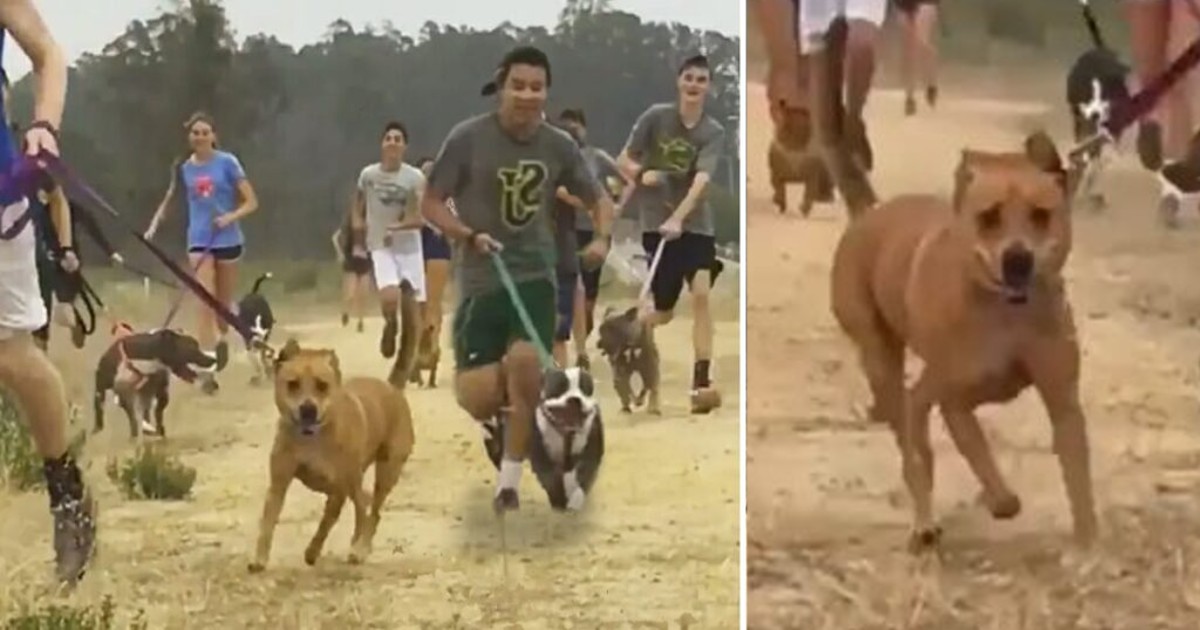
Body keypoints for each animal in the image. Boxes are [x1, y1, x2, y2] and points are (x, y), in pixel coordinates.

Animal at [246, 338, 415, 568]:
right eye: (292, 384)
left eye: (322, 385)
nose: (308, 409)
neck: (311, 439)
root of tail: (393, 389)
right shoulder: (278, 484)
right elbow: (268, 522)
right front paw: (260, 559)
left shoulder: (339, 489)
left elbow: (327, 522)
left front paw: (313, 551)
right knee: (364, 504)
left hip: (386, 472)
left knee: (371, 512)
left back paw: (360, 549)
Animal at [830, 130, 1094, 547]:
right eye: (988, 217)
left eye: (1040, 214)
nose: (1017, 260)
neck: (1008, 316)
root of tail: (869, 212)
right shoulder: (955, 403)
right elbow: (981, 456)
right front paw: (1000, 500)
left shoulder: (1063, 401)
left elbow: (1078, 479)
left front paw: (1088, 544)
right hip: (884, 361)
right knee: (912, 447)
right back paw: (925, 521)